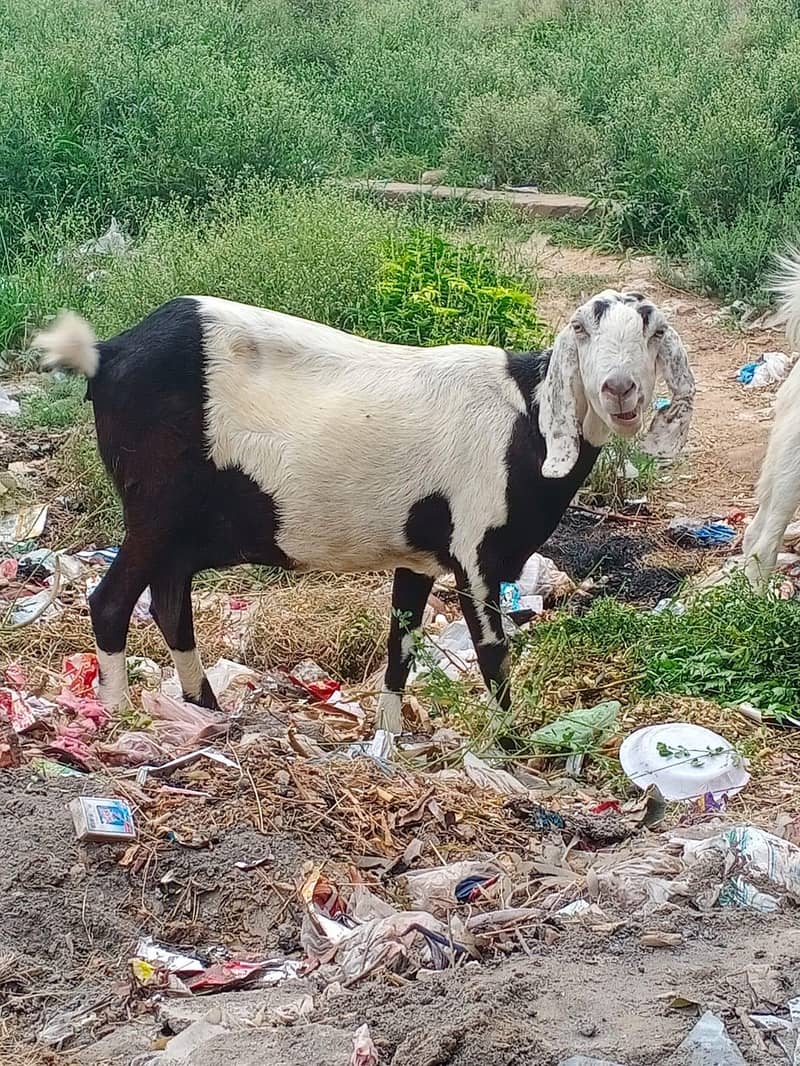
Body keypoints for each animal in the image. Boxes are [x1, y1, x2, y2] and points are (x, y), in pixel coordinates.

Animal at [34, 291, 694, 733]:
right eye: (581, 327)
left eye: (654, 329)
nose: (618, 389)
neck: (526, 419)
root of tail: (107, 352)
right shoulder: (475, 554)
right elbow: (492, 655)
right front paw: (513, 746)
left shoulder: (420, 559)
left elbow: (400, 650)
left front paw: (388, 742)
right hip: (153, 510)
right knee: (111, 601)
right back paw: (123, 720)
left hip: (180, 527)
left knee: (170, 602)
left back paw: (207, 712)